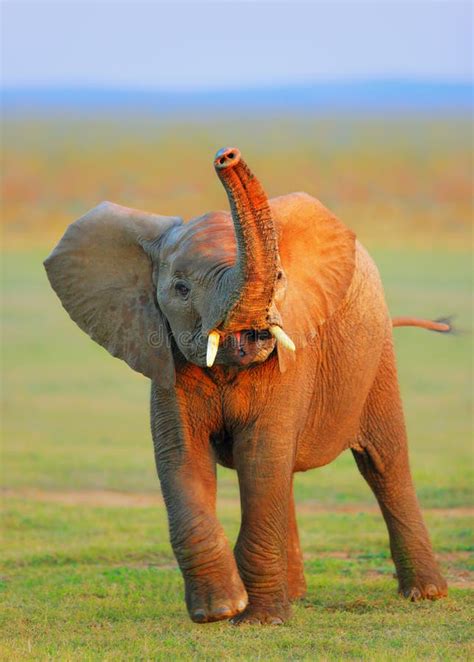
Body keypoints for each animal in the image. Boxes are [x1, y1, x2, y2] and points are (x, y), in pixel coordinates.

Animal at [46, 147, 450, 628]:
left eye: (279, 278)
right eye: (180, 289)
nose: (226, 156)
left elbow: (260, 454)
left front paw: (259, 620)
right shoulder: (164, 359)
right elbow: (182, 455)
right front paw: (219, 610)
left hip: (377, 359)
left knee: (384, 464)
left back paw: (425, 594)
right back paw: (296, 595)